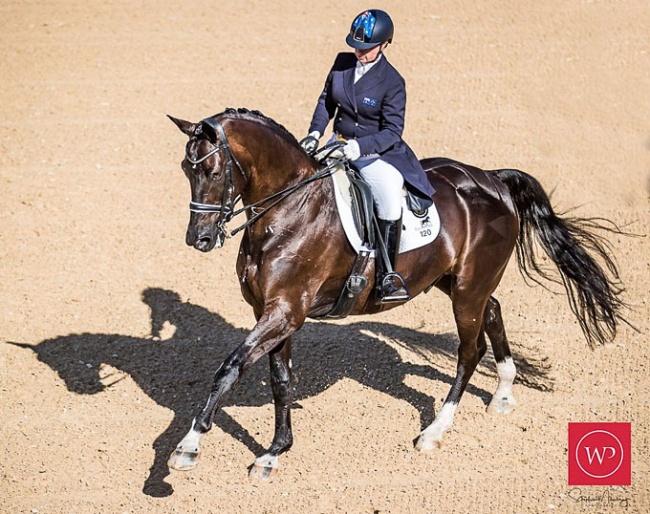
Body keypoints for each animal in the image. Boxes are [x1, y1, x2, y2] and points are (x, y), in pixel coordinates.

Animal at [165, 106, 624, 478]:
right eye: (186, 170)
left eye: (213, 171)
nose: (199, 239)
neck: (289, 210)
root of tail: (493, 179)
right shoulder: (273, 312)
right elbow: (280, 380)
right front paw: (275, 452)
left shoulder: (285, 311)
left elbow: (230, 368)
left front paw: (188, 447)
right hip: (454, 280)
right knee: (493, 311)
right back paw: (504, 393)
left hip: (468, 288)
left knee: (469, 351)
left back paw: (435, 432)